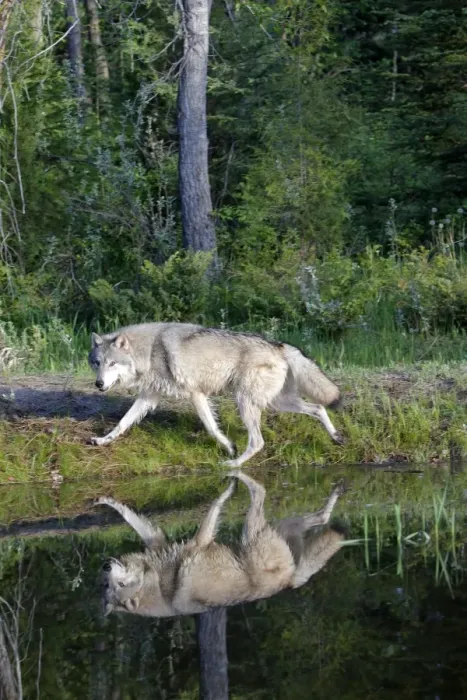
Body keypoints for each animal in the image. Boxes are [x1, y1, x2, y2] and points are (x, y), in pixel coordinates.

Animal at [88, 323, 343, 467]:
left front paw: (229, 447)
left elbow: (211, 427)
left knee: (258, 442)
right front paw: (103, 440)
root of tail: (278, 345)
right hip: (277, 403)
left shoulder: (196, 394)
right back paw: (336, 437)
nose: (98, 384)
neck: (149, 351)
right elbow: (122, 423)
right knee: (318, 408)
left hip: (246, 403)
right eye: (97, 363)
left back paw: (233, 464)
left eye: (112, 363)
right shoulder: (148, 396)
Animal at [97, 471, 345, 617]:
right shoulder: (183, 542)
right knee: (316, 516)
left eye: (115, 584)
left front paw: (106, 501)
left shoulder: (190, 541)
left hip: (262, 530)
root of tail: (288, 581)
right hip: (267, 530)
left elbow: (129, 516)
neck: (159, 584)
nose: (105, 565)